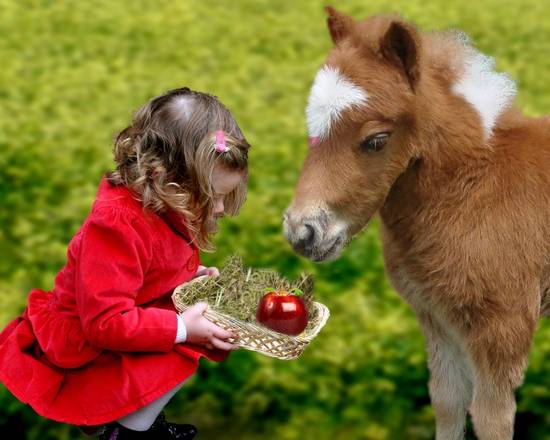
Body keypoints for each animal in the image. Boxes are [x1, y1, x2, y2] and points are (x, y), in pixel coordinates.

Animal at [284, 6, 550, 440]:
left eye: (376, 140)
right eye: (313, 126)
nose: (302, 232)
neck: (473, 189)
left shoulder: (503, 322)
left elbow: (491, 417)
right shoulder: (436, 315)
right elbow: (447, 399)